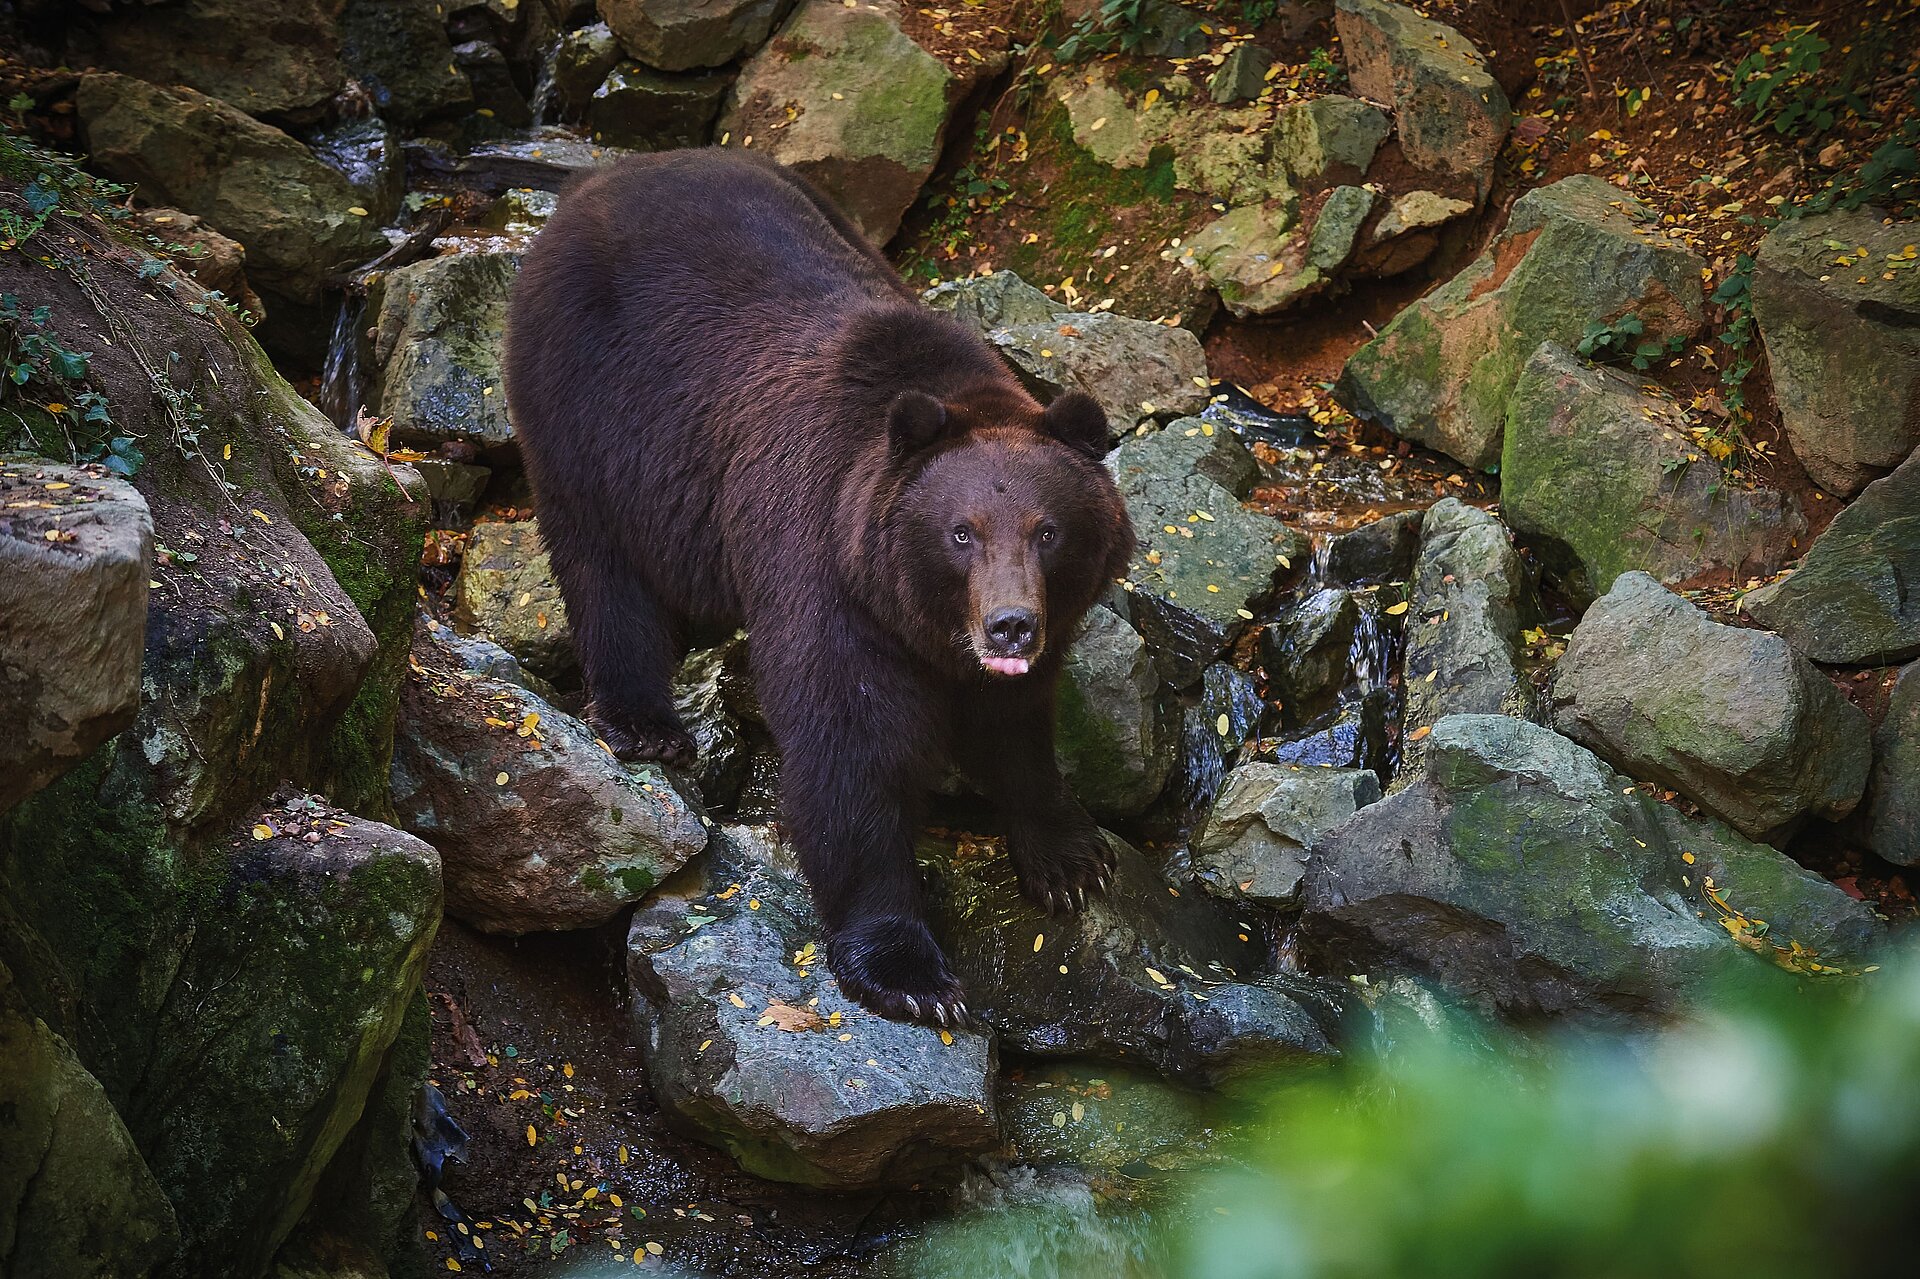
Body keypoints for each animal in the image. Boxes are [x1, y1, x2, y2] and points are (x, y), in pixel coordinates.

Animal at [510, 149, 1128, 1021]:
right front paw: (911, 971)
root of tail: (594, 179)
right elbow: (849, 749)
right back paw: (645, 722)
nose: (1010, 624)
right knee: (603, 563)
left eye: (1049, 530)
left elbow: (1015, 725)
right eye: (961, 531)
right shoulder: (824, 567)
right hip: (588, 407)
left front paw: (1071, 856)